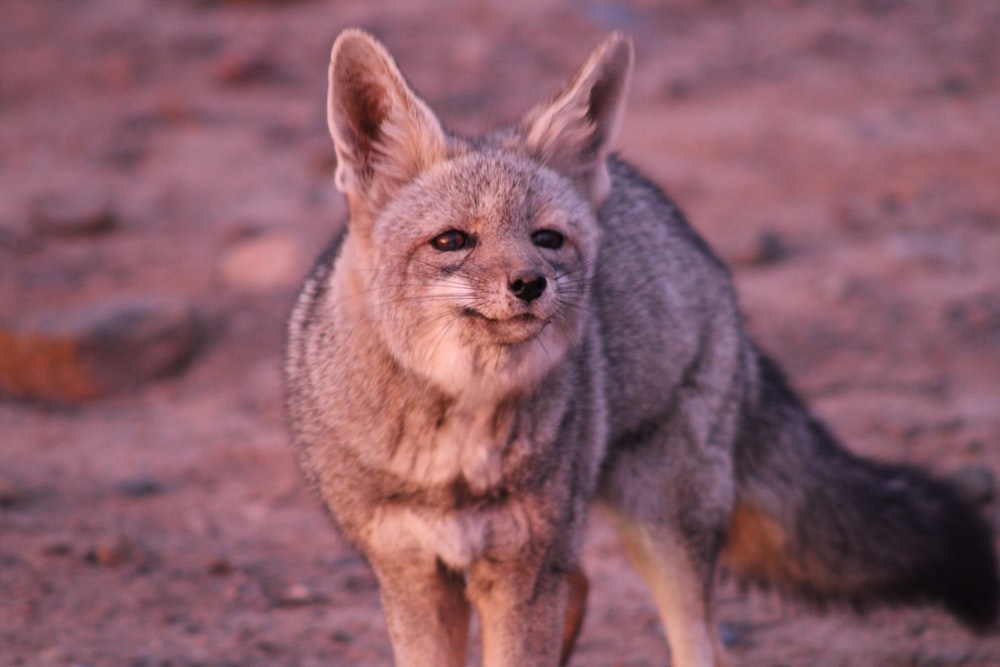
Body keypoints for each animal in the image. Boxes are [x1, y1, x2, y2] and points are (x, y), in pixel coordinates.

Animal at [284, 28, 1000, 664]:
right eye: (451, 241)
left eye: (547, 238)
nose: (530, 284)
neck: (457, 449)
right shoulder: (413, 575)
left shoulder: (522, 571)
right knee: (588, 586)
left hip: (658, 523)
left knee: (703, 645)